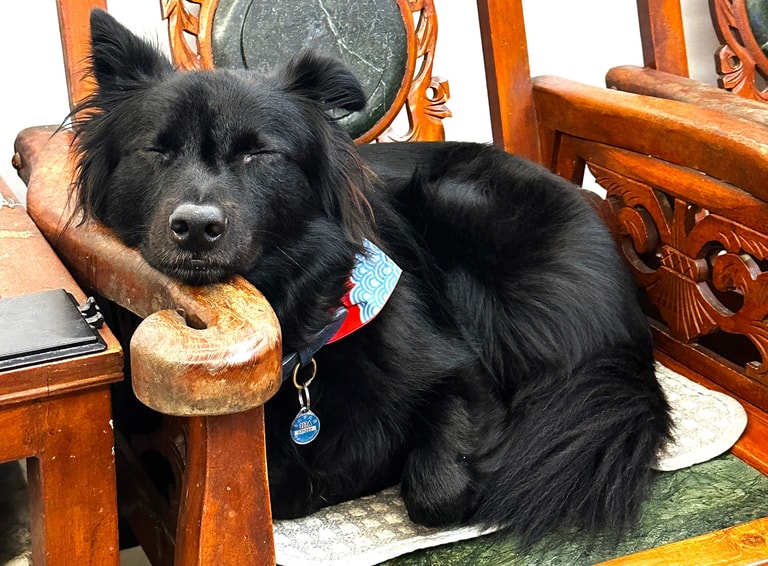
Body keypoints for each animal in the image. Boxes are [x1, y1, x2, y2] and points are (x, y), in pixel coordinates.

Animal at [71, 10, 671, 544]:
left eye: (257, 154)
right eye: (156, 150)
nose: (196, 227)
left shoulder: (464, 374)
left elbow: (436, 489)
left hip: (463, 209)